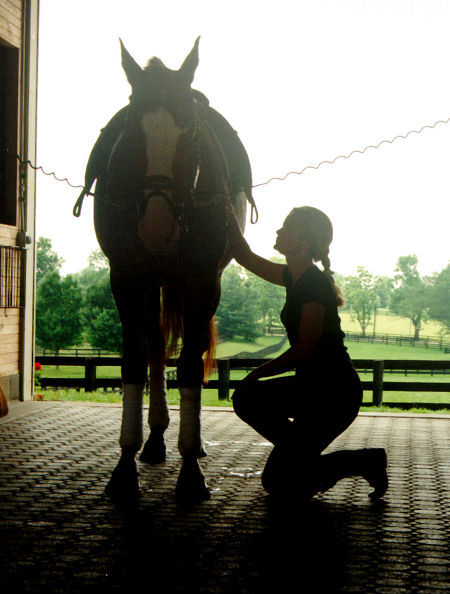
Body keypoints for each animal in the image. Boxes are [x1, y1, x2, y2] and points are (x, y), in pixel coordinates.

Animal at [75, 38, 255, 500]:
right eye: (131, 127)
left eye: (190, 128)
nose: (156, 227)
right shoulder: (125, 278)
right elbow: (134, 361)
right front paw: (124, 469)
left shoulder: (202, 281)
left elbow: (190, 366)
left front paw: (191, 471)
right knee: (156, 347)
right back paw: (154, 438)